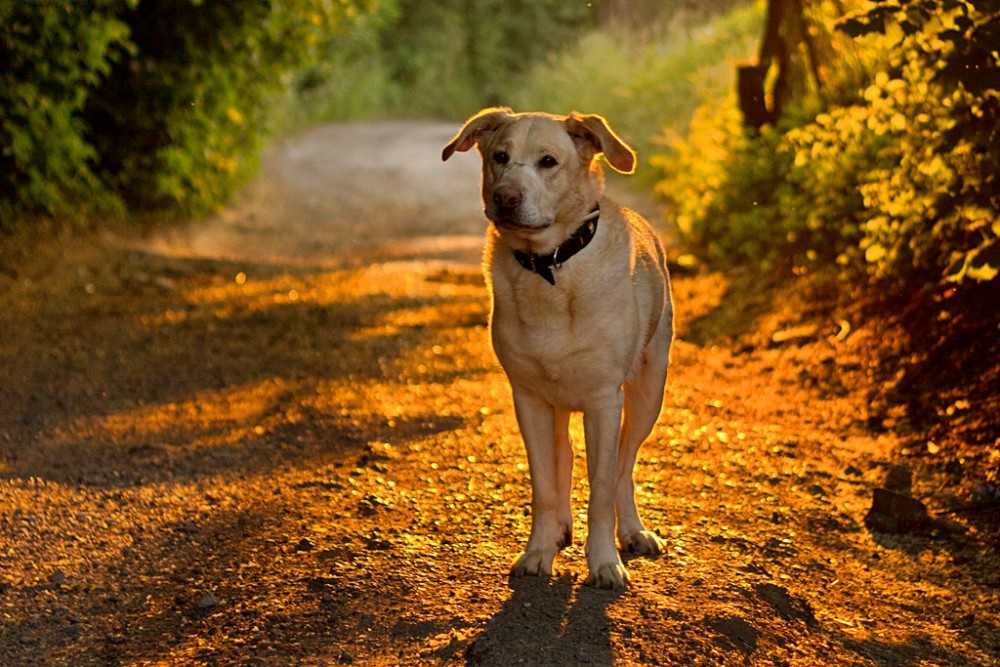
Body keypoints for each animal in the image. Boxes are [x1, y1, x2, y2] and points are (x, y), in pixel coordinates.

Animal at [440, 109, 668, 588]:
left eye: (549, 161)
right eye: (499, 157)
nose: (506, 197)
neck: (551, 266)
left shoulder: (604, 401)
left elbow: (602, 486)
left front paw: (603, 561)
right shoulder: (528, 399)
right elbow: (544, 483)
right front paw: (538, 552)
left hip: (648, 391)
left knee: (624, 466)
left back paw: (633, 531)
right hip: (559, 403)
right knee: (565, 459)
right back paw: (562, 530)